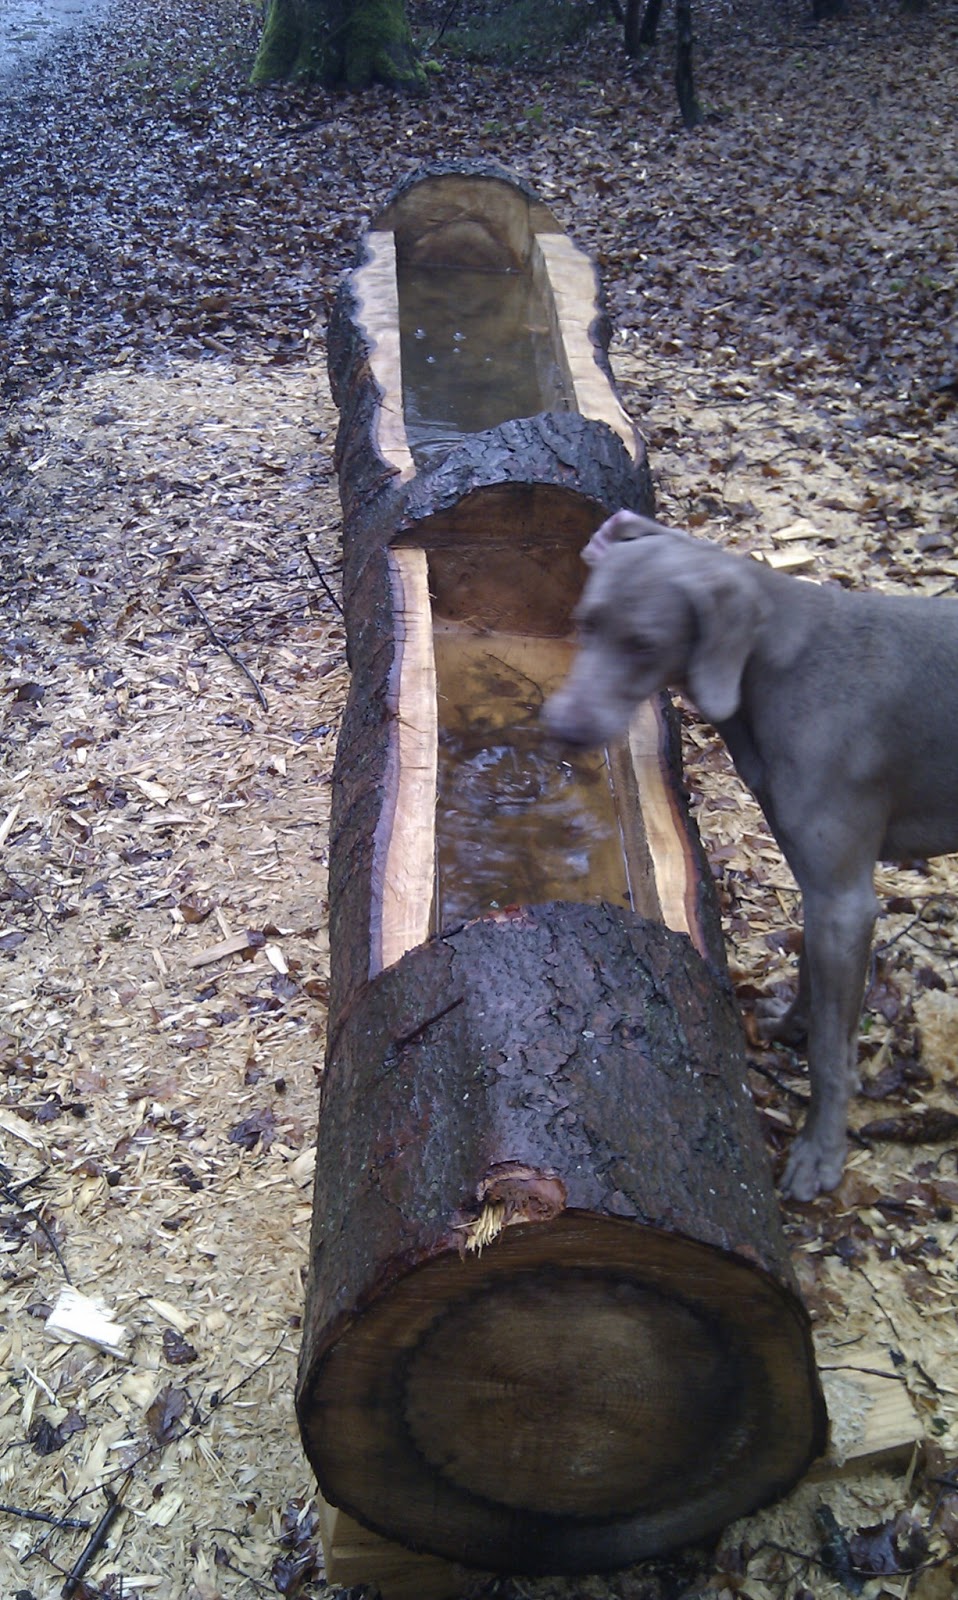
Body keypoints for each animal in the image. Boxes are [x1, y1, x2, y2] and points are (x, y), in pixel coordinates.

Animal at [545, 510, 958, 1201]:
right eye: (585, 622)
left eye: (644, 645)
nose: (560, 727)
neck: (779, 666)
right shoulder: (820, 890)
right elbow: (813, 980)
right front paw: (790, 1024)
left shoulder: (845, 898)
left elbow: (831, 1051)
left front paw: (820, 1153)